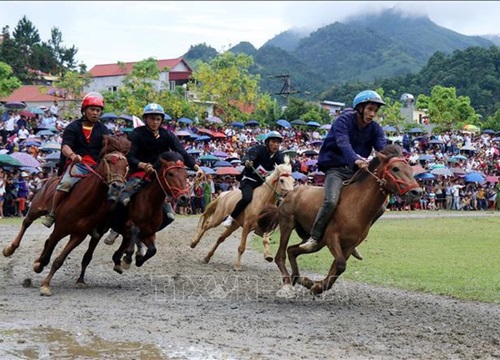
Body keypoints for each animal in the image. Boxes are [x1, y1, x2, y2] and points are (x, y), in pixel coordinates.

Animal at [2, 135, 131, 296]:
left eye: (126, 165)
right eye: (109, 161)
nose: (117, 186)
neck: (86, 202)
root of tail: (50, 178)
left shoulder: (79, 235)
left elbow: (60, 259)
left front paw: (47, 281)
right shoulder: (60, 229)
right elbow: (49, 252)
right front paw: (41, 273)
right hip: (36, 208)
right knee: (26, 223)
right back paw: (10, 249)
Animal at [258, 145, 422, 296]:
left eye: (410, 168)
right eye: (395, 168)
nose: (417, 192)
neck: (357, 205)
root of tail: (289, 194)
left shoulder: (349, 245)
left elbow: (336, 269)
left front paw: (314, 285)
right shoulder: (332, 239)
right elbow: (341, 265)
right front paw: (316, 286)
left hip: (315, 241)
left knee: (292, 250)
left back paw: (298, 278)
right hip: (287, 225)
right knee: (280, 255)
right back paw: (287, 283)